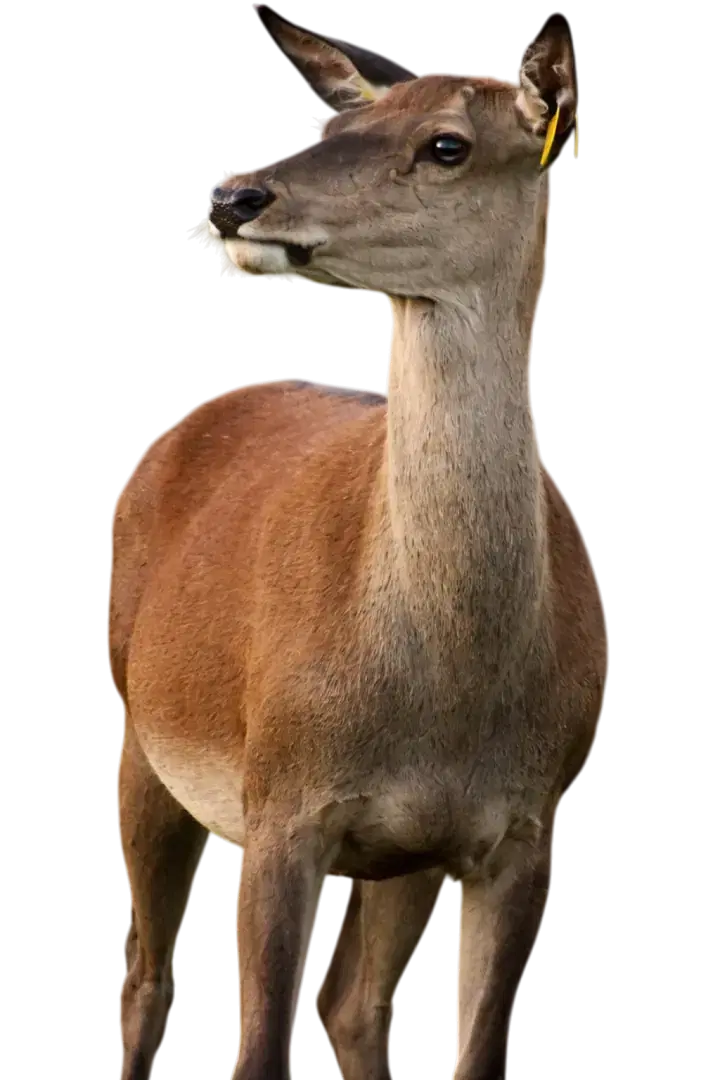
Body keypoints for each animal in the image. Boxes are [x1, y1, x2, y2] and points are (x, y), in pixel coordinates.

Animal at [110, 12, 608, 1080]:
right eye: (341, 121)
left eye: (448, 145)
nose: (233, 194)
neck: (446, 692)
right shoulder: (280, 803)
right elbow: (256, 1049)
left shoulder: (524, 828)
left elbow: (470, 1051)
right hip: (139, 732)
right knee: (146, 981)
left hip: (396, 853)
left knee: (350, 1004)